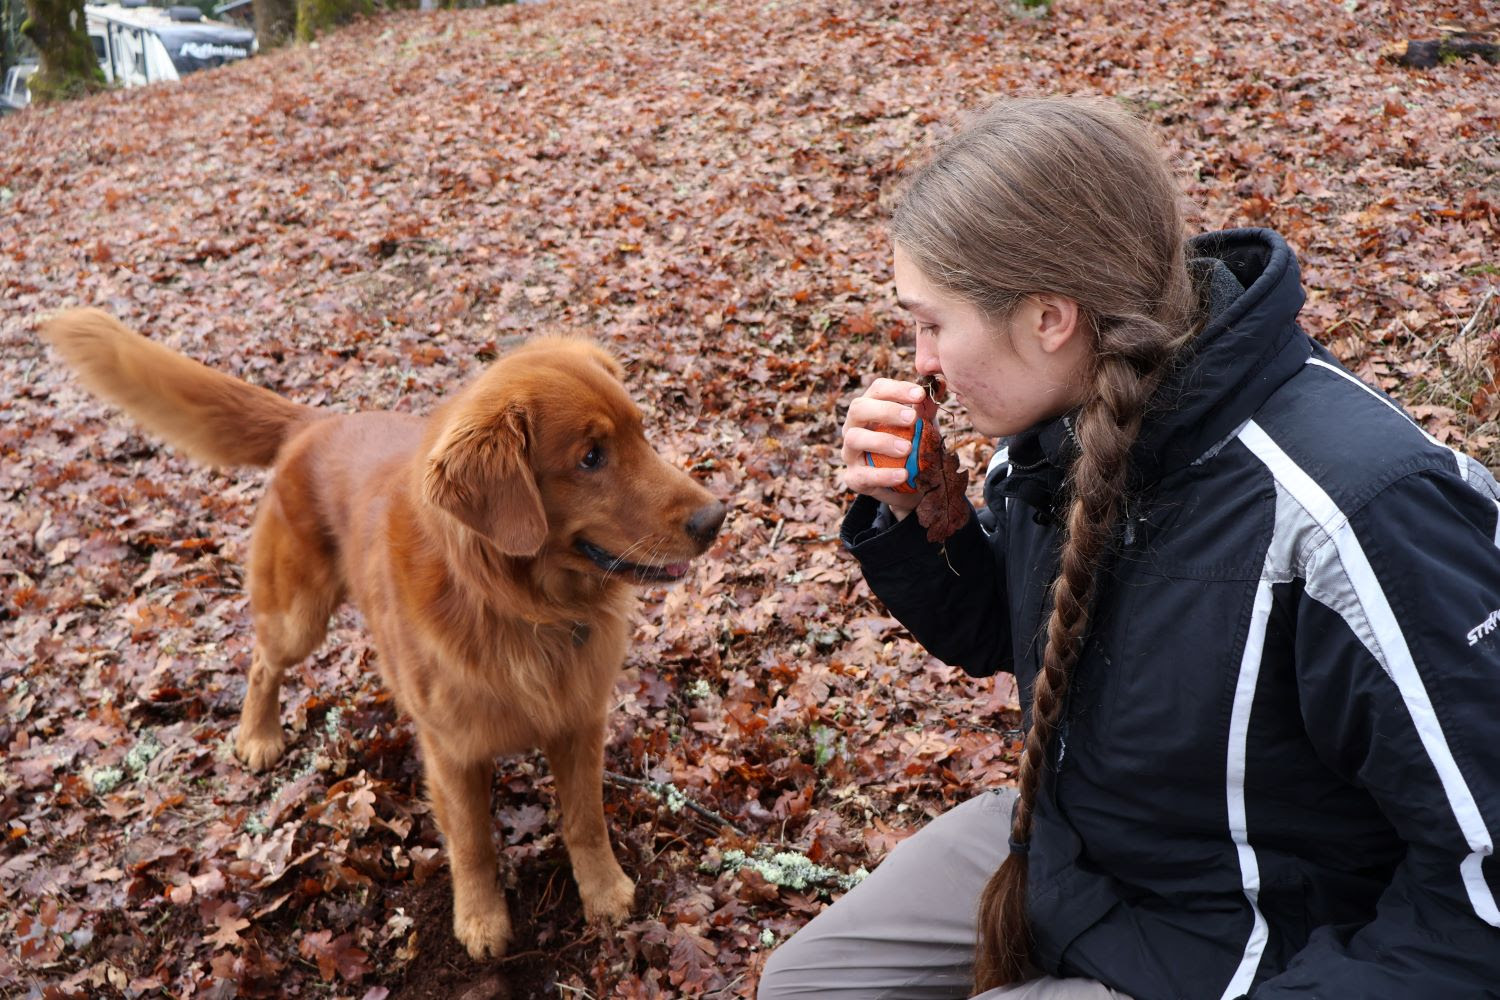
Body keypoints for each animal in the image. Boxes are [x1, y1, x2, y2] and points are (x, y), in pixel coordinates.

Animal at [43, 308, 723, 959]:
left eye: (642, 432)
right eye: (590, 457)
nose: (716, 518)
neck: (521, 609)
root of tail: (313, 423)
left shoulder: (579, 719)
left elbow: (585, 819)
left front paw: (604, 893)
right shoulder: (453, 750)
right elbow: (472, 842)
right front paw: (481, 920)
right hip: (299, 617)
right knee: (263, 662)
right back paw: (258, 734)